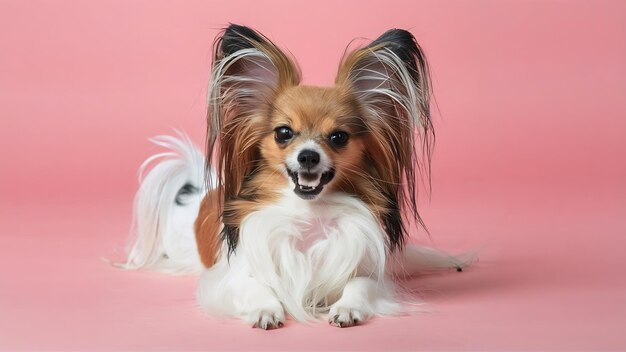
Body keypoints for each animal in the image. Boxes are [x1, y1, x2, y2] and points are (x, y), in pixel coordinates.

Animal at [120, 24, 472, 328]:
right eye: (284, 133)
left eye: (339, 137)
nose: (308, 156)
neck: (310, 214)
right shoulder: (228, 278)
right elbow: (254, 287)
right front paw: (265, 310)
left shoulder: (371, 274)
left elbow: (359, 284)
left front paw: (347, 308)